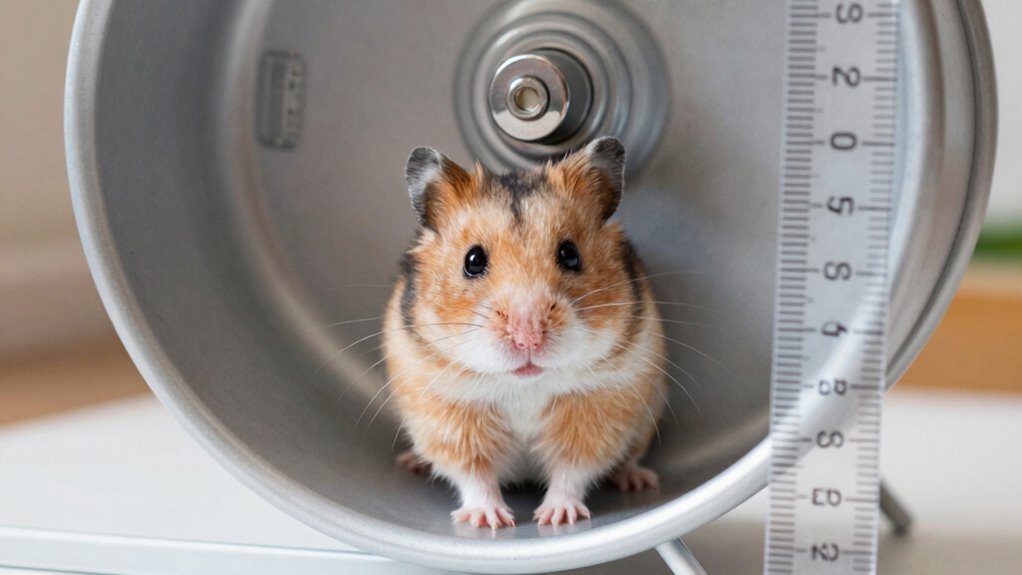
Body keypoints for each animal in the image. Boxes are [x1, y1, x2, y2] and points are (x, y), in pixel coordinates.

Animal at [382, 137, 666, 529]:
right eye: (473, 260)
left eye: (570, 254)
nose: (528, 338)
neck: (524, 386)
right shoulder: (448, 414)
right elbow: (474, 475)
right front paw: (489, 521)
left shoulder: (600, 407)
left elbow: (572, 470)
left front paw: (557, 518)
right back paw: (411, 463)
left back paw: (638, 480)